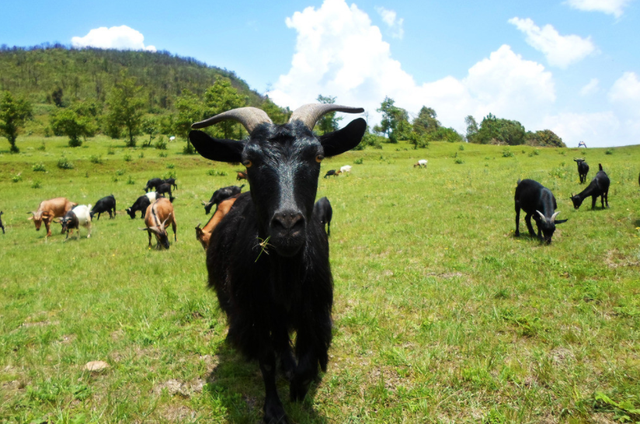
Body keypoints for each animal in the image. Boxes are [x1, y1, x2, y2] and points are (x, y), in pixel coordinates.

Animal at [189, 103, 364, 424]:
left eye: (318, 156)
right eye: (248, 161)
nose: (287, 225)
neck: (285, 274)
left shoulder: (313, 310)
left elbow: (307, 361)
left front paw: (298, 387)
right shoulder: (255, 312)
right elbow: (266, 360)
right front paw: (274, 409)